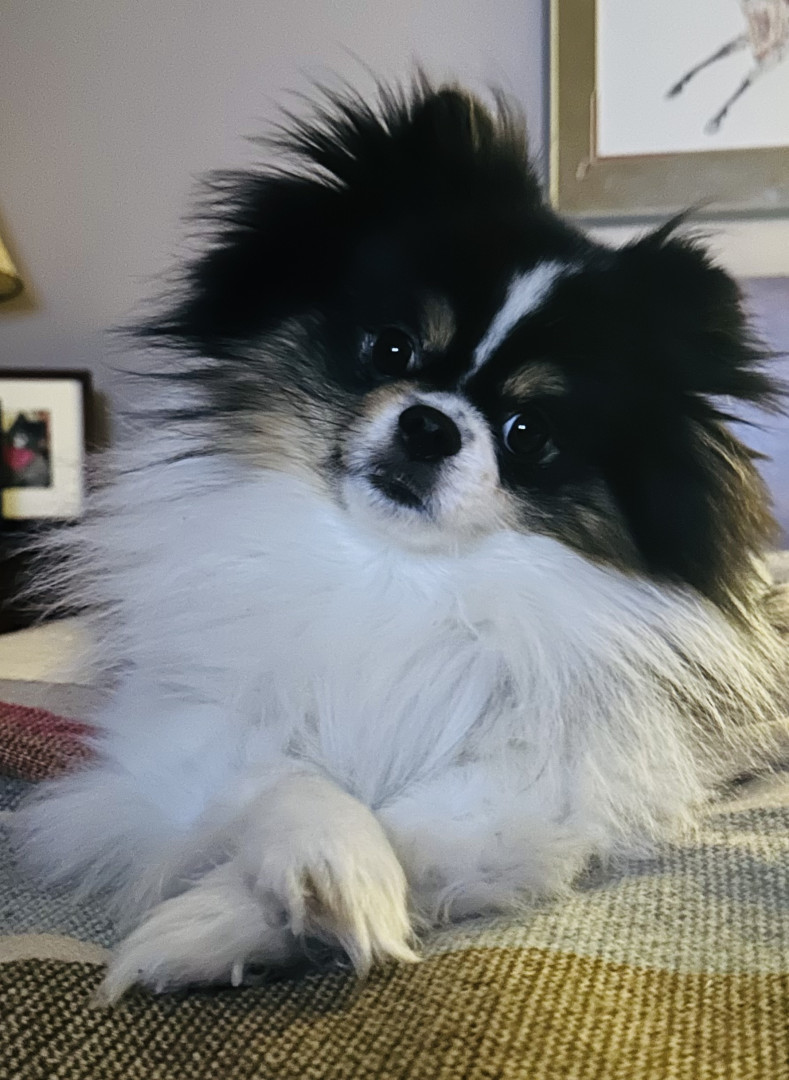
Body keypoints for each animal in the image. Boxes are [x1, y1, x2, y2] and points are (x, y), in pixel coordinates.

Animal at [16, 78, 788, 1003]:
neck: (387, 572)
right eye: (390, 348)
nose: (429, 424)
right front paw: (324, 869)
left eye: (528, 433)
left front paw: (228, 923)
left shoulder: (536, 789)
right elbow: (290, 776)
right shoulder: (182, 729)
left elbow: (410, 827)